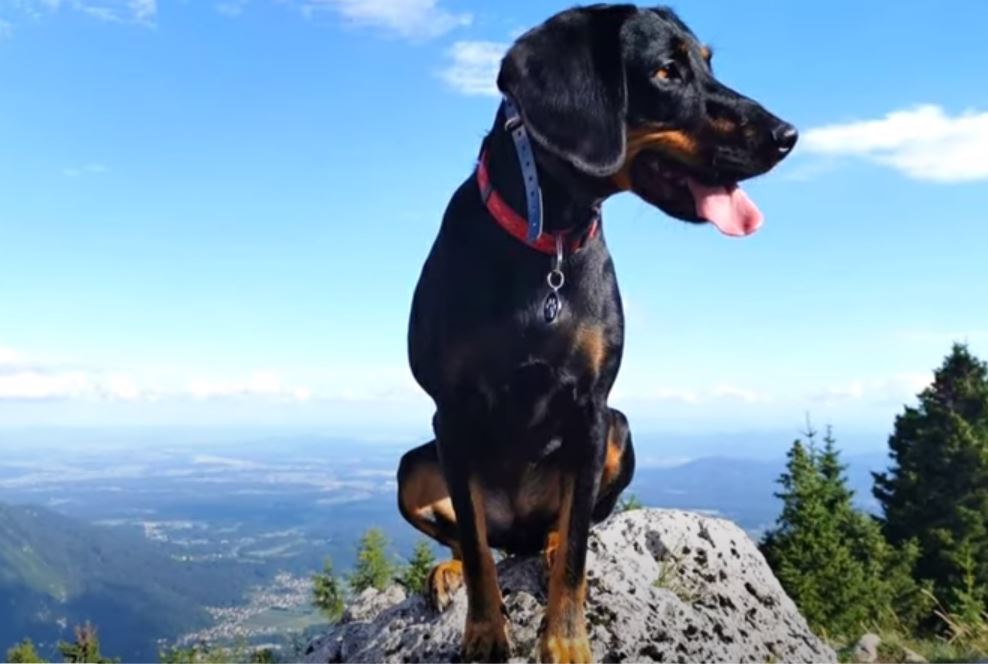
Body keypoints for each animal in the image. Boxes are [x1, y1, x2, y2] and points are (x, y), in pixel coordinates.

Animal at [394, 3, 796, 660]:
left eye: (708, 63)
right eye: (665, 72)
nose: (787, 134)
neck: (547, 240)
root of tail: (520, 532)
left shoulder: (591, 409)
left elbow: (579, 547)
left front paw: (565, 643)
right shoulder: (450, 413)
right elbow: (476, 550)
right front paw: (485, 633)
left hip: (618, 432)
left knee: (562, 529)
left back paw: (550, 543)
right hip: (414, 467)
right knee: (474, 537)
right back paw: (452, 569)